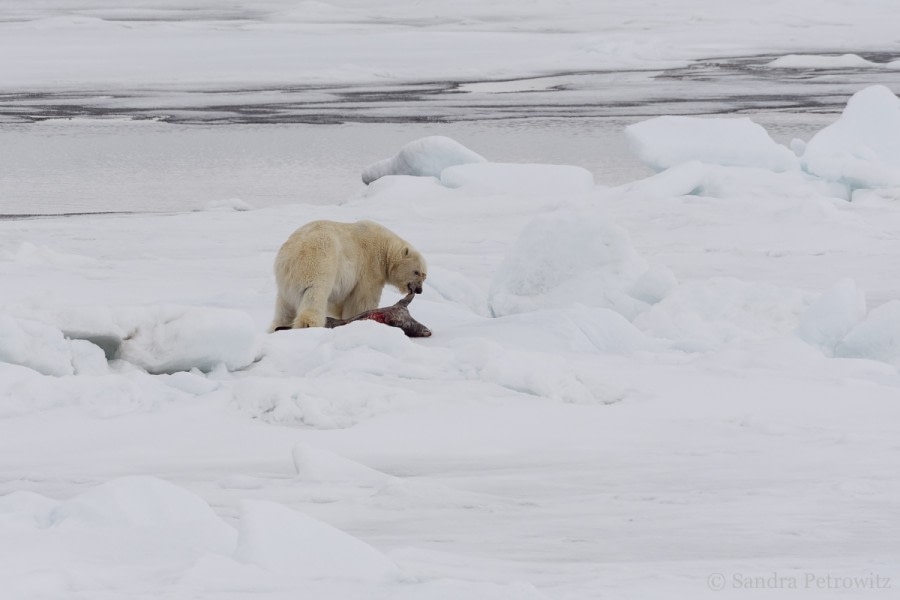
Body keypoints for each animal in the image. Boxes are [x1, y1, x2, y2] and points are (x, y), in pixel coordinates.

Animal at [268, 220, 428, 332]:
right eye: (416, 272)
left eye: (425, 276)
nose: (419, 290)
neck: (385, 248)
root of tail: (291, 257)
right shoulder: (370, 266)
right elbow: (362, 299)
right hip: (318, 264)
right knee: (314, 296)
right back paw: (308, 325)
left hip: (285, 283)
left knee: (284, 308)